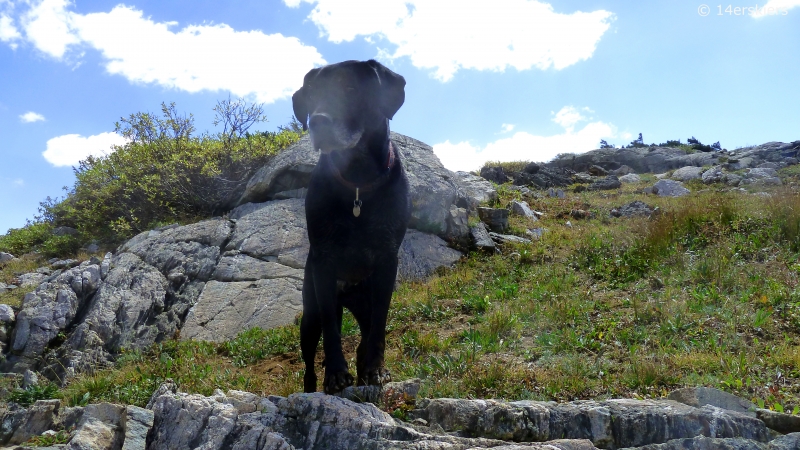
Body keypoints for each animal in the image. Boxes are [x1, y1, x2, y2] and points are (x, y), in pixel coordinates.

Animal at [290, 59, 410, 394]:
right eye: (311, 94)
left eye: (351, 88)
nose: (318, 121)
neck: (357, 179)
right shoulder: (323, 263)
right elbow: (332, 330)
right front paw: (336, 374)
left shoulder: (387, 261)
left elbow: (379, 326)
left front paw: (375, 369)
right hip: (311, 315)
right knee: (309, 364)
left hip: (362, 306)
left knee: (364, 338)